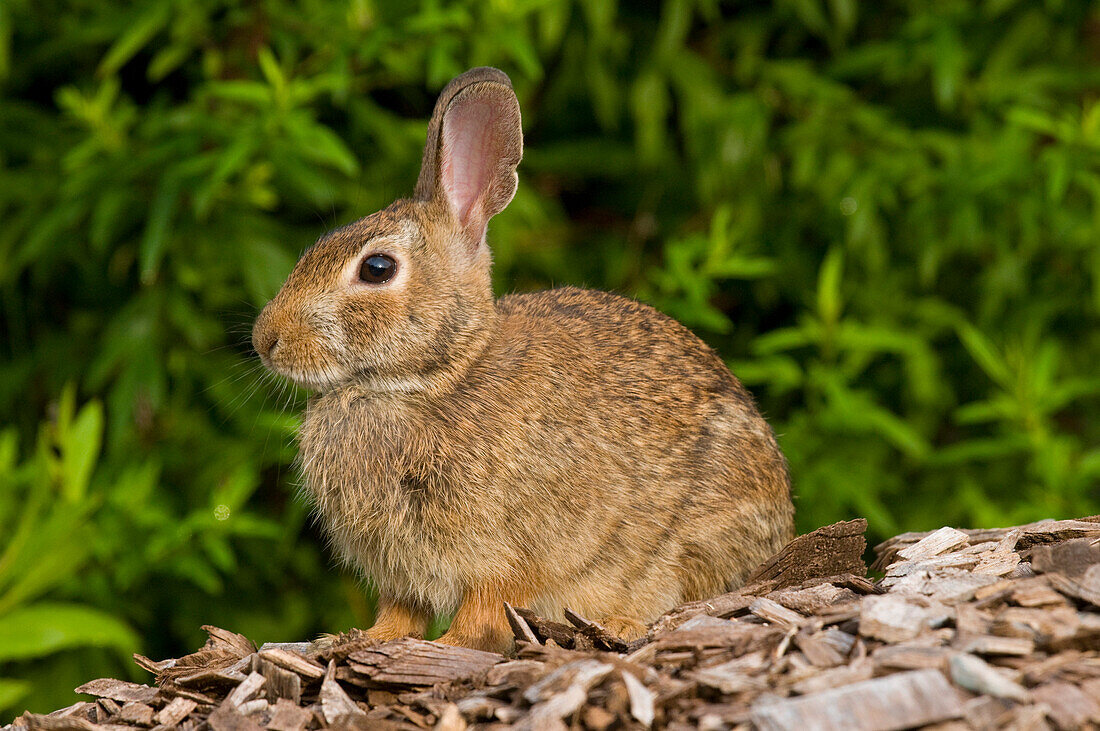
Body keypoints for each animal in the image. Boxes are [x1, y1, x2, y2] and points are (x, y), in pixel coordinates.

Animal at [253, 67, 796, 650]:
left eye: (377, 268)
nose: (266, 339)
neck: (432, 378)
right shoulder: (402, 574)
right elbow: (400, 614)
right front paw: (360, 640)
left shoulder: (502, 554)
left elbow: (482, 614)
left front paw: (443, 649)